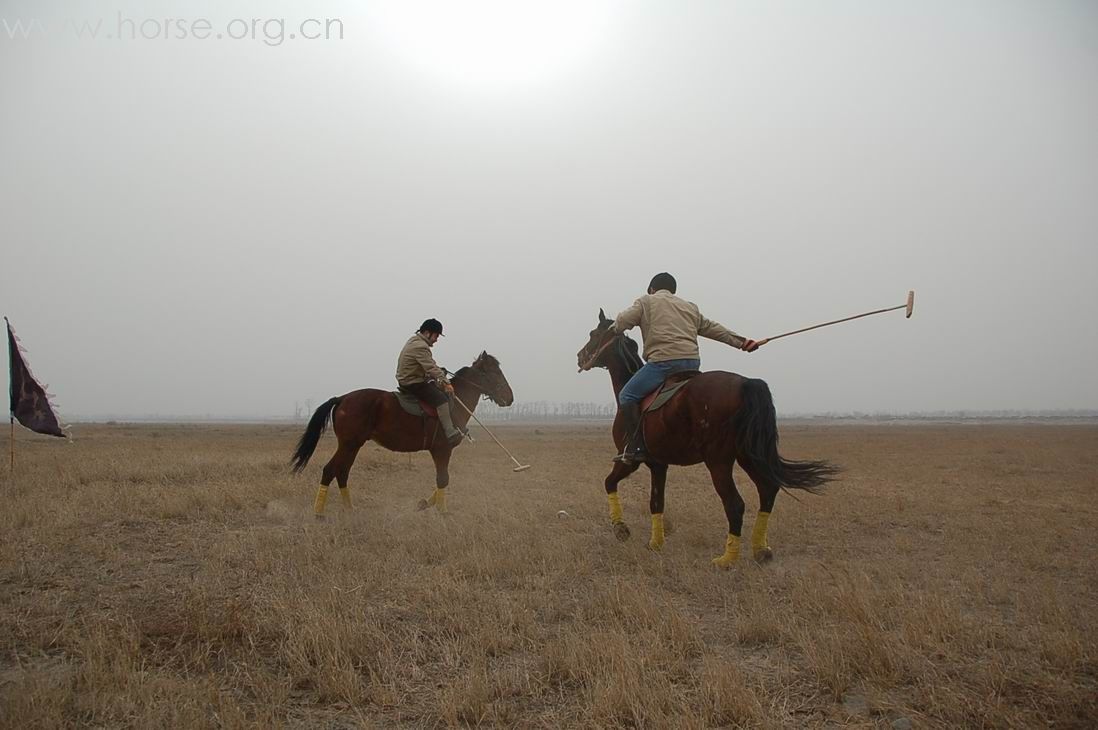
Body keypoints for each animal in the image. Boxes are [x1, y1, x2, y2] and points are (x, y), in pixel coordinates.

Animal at [292, 351, 513, 515]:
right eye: (494, 372)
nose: (509, 397)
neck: (454, 404)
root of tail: (342, 398)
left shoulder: (440, 451)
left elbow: (442, 480)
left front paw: (424, 503)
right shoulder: (442, 449)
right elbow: (443, 479)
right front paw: (442, 511)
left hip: (352, 445)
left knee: (342, 472)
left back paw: (349, 509)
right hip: (349, 444)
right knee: (330, 470)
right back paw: (319, 513)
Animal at [579, 309, 834, 566]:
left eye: (593, 334)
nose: (580, 357)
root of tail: (746, 383)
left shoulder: (630, 460)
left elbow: (609, 483)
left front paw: (621, 528)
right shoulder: (658, 464)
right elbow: (656, 502)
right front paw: (655, 543)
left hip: (718, 461)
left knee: (735, 504)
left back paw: (726, 560)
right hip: (748, 456)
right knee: (768, 490)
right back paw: (761, 549)